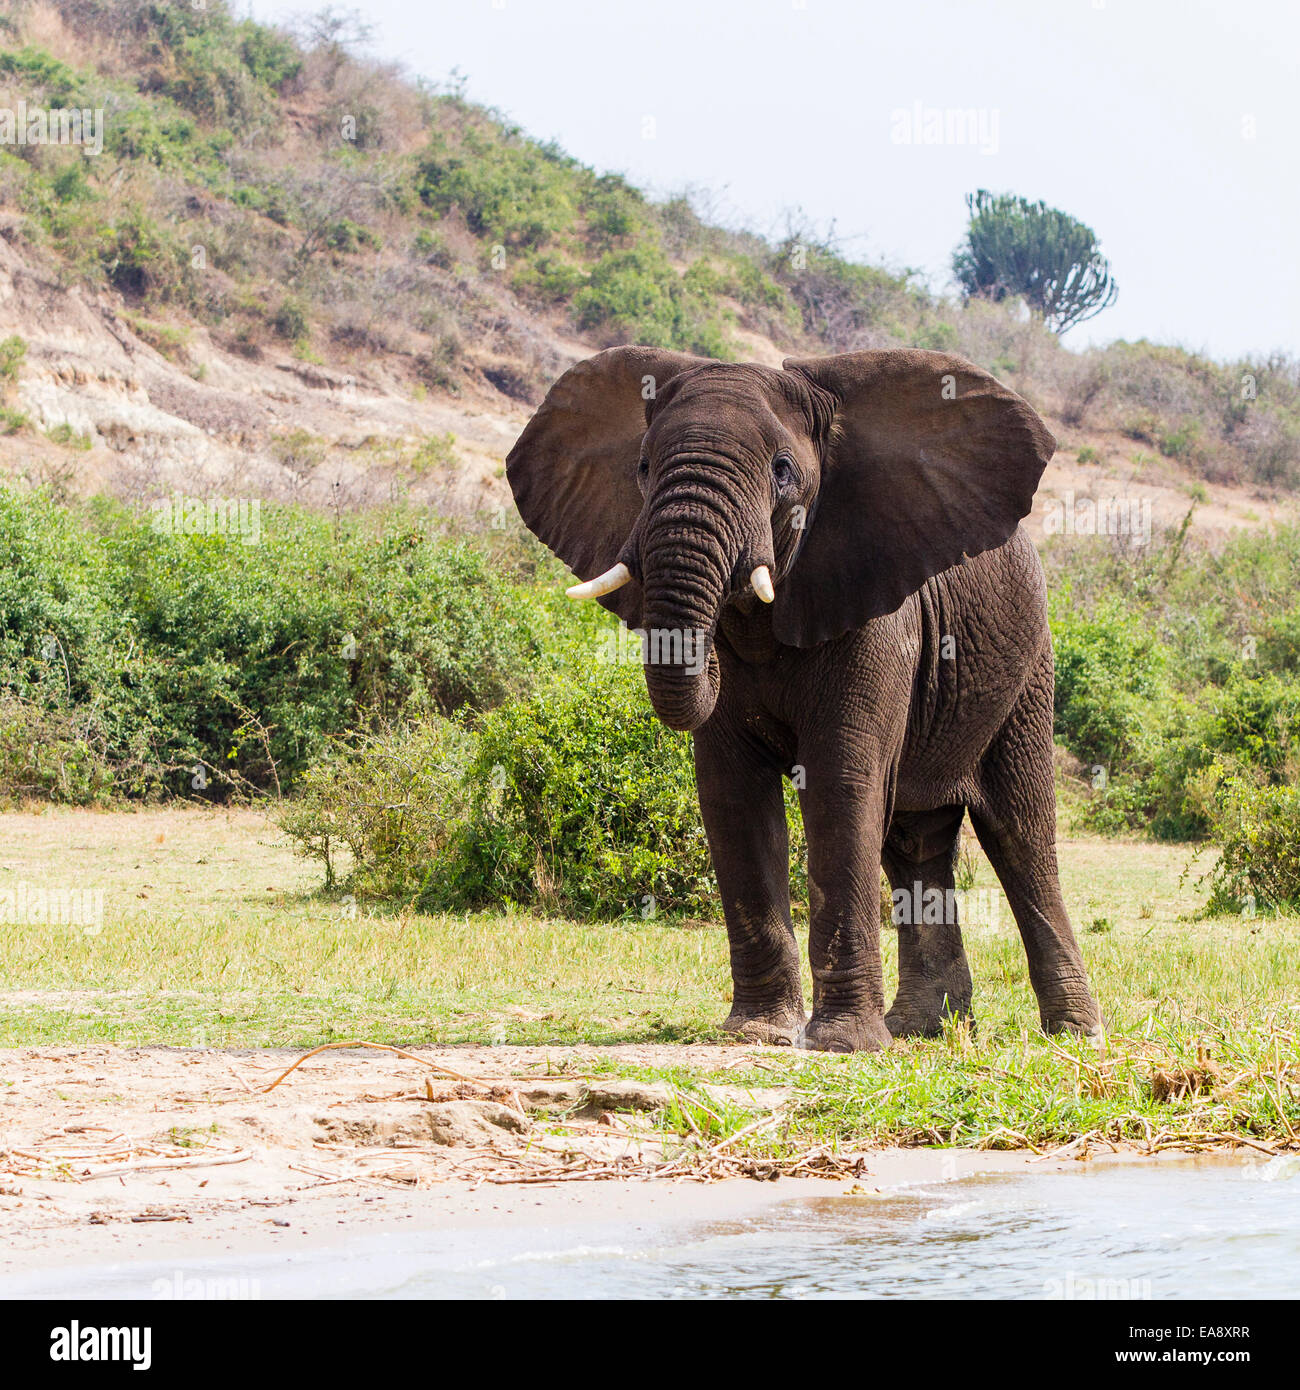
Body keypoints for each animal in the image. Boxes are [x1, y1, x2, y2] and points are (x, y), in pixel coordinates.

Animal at [503, 347, 1101, 1050]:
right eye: (643, 468)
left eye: (783, 471)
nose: (708, 660)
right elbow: (733, 793)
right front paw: (760, 1033)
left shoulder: (877, 607)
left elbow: (841, 785)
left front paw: (843, 1045)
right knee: (913, 842)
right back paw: (920, 1029)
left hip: (1028, 671)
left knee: (1020, 835)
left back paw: (1074, 1035)